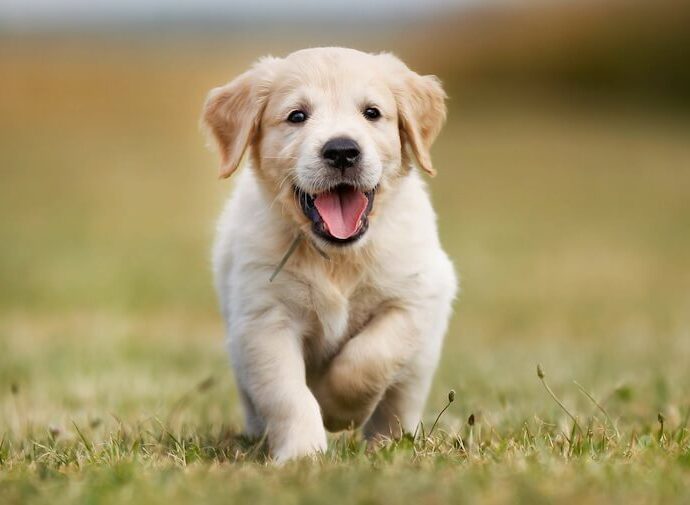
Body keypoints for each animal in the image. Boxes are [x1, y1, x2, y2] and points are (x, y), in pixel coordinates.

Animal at [202, 48, 454, 464]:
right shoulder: (264, 321)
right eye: (297, 116)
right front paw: (303, 454)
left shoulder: (416, 298)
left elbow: (370, 356)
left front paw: (338, 410)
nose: (342, 151)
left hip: (421, 361)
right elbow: (288, 395)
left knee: (399, 401)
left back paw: (389, 442)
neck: (338, 258)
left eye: (372, 112)